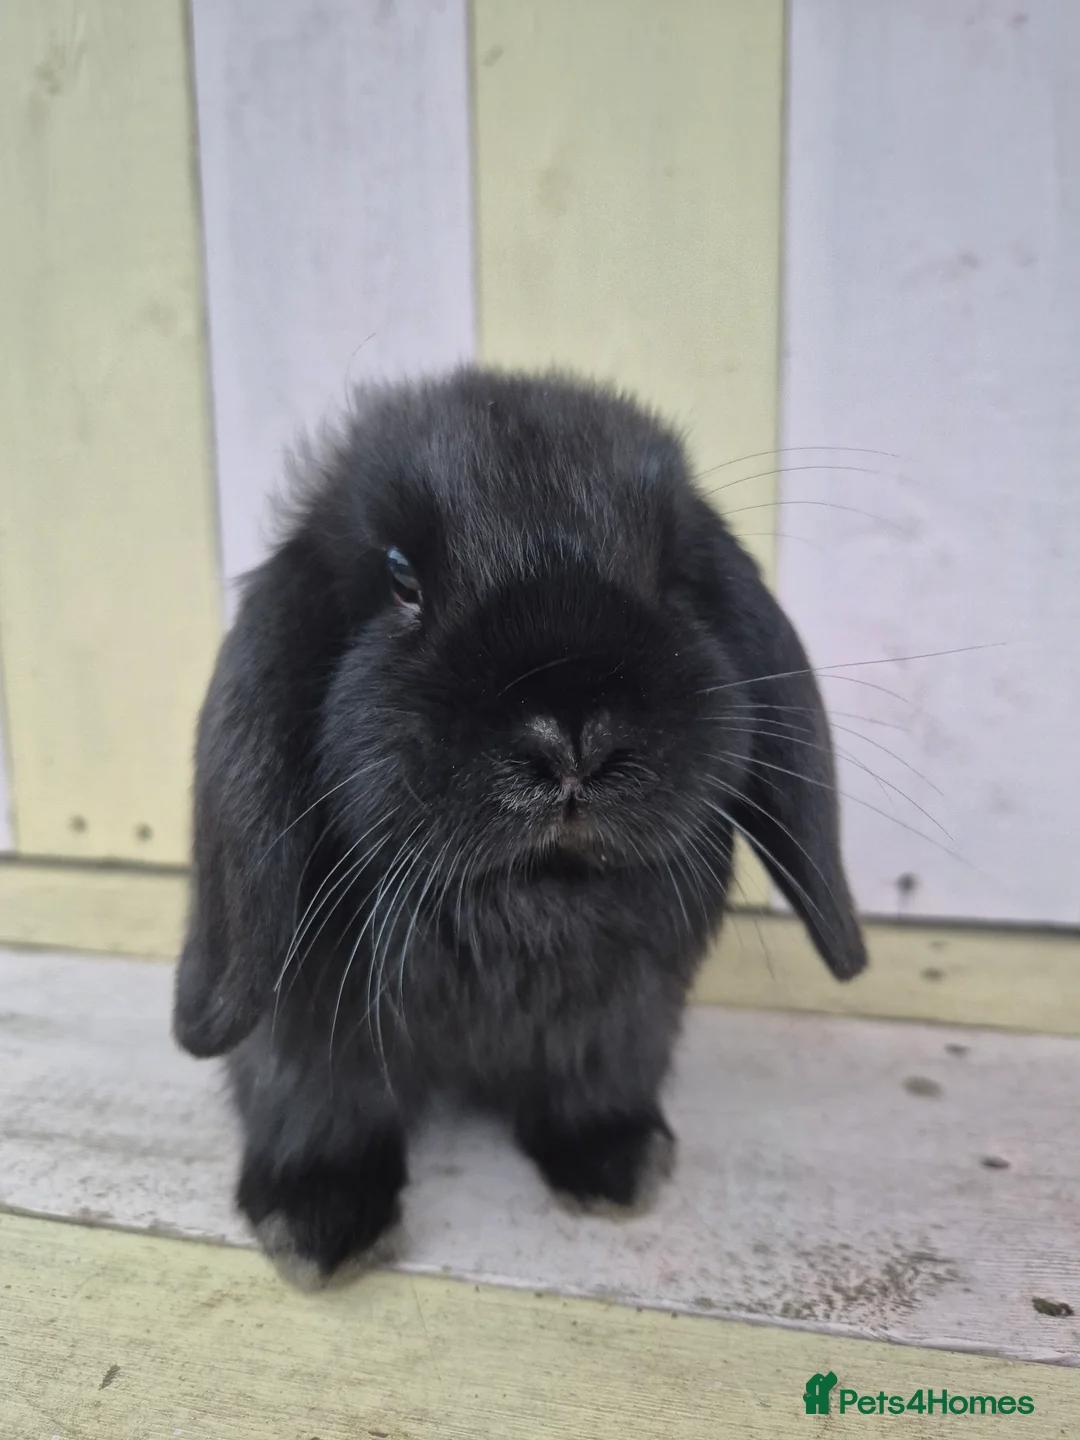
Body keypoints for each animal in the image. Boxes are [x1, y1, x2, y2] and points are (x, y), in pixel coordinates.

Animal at [173, 367, 866, 1284]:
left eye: (670, 572)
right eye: (401, 578)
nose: (573, 736)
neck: (528, 908)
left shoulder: (625, 1021)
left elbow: (596, 1083)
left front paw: (618, 1165)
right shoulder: (307, 1027)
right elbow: (317, 1099)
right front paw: (318, 1222)